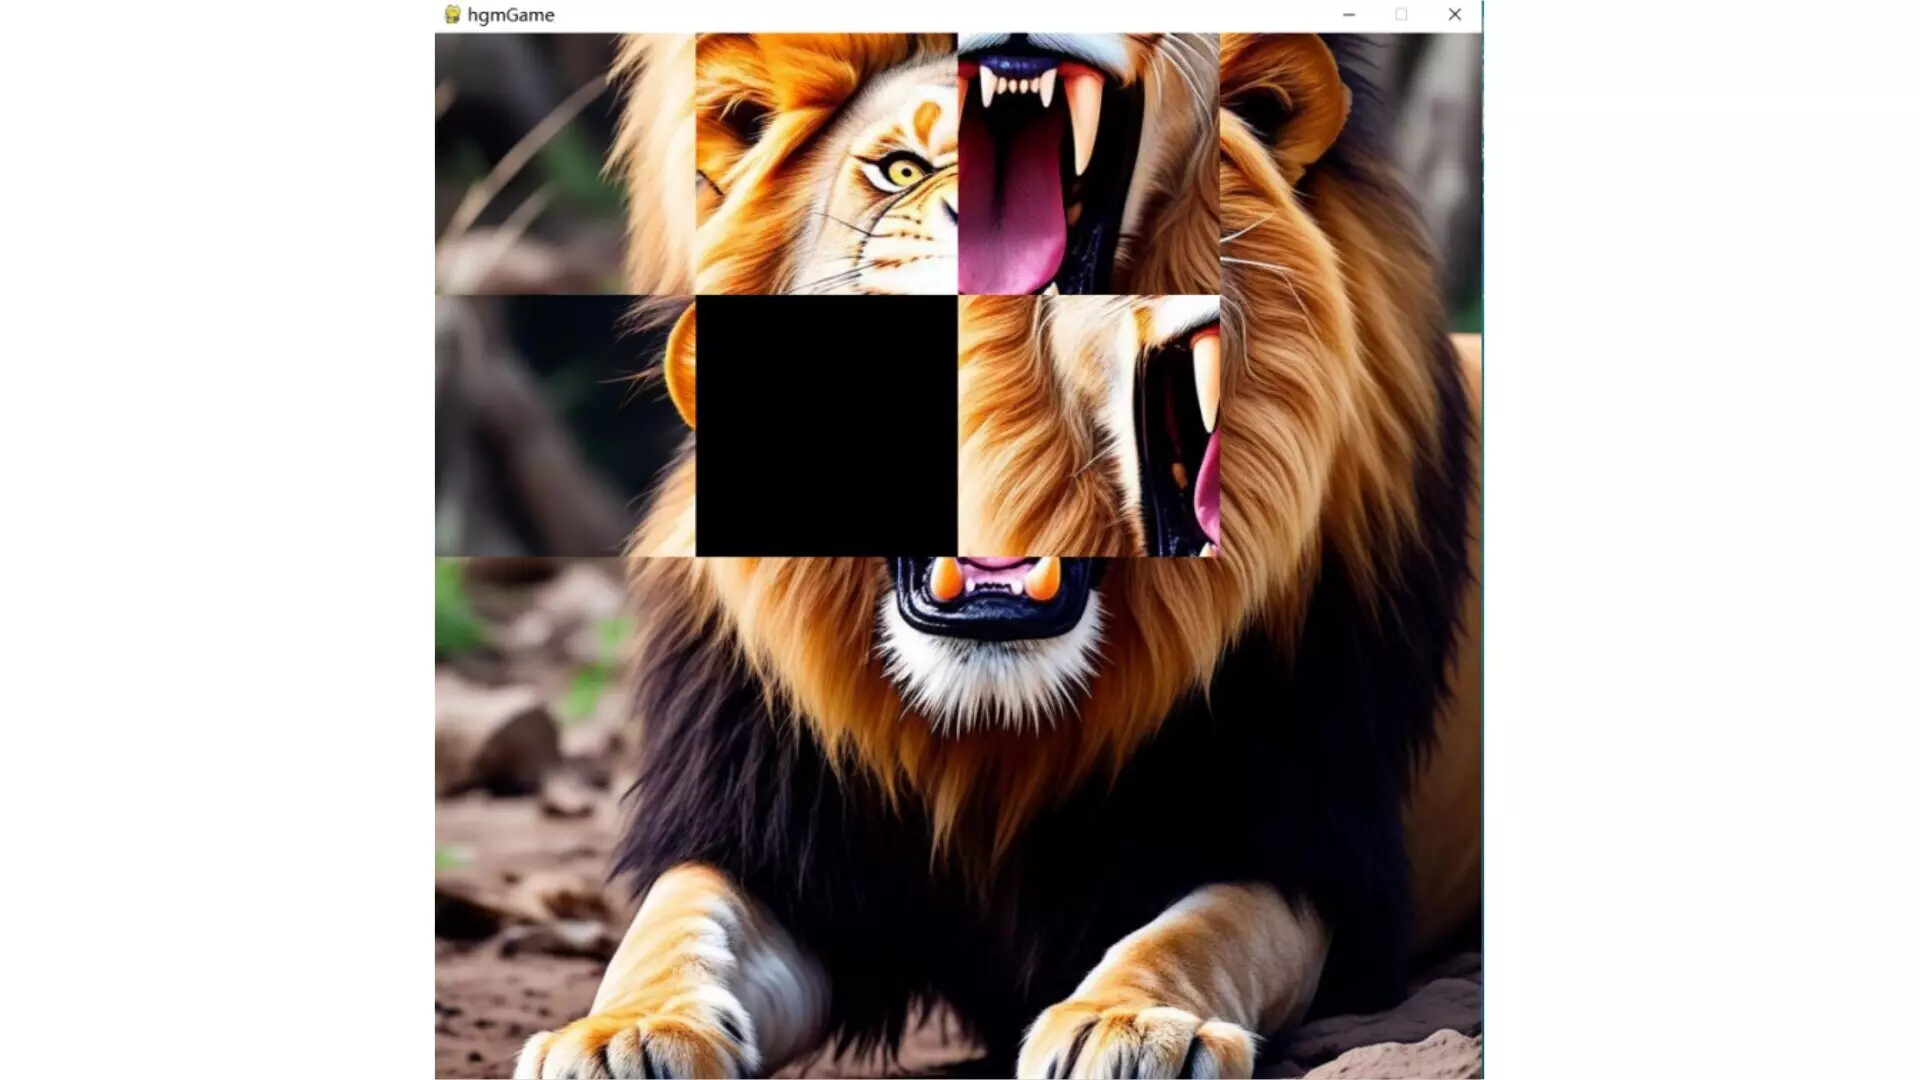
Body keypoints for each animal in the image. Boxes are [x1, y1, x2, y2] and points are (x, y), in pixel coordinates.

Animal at [516, 32, 1481, 1080]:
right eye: (901, 168)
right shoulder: (767, 830)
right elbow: (675, 922)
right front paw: (625, 1029)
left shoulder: (1306, 840)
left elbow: (1201, 929)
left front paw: (1129, 1019)